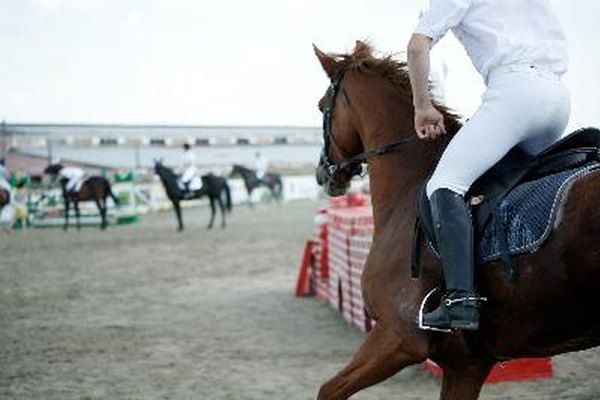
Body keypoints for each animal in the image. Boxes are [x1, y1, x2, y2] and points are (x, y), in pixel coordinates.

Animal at [312, 41, 600, 400]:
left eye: (321, 107)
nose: (322, 173)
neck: (409, 187)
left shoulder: (398, 337)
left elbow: (328, 390)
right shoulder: (465, 366)